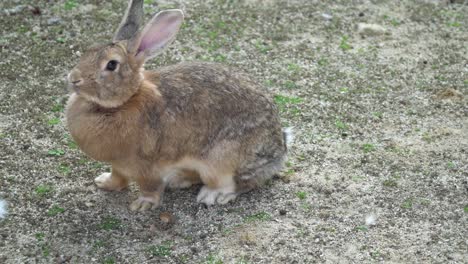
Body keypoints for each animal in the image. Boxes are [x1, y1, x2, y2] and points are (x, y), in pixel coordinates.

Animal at [66, 0, 292, 210]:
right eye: (89, 51)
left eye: (111, 65)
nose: (73, 78)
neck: (124, 101)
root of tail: (278, 152)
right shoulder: (119, 165)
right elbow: (117, 177)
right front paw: (103, 182)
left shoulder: (147, 166)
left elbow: (150, 186)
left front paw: (143, 204)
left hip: (221, 161)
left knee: (238, 183)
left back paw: (213, 195)